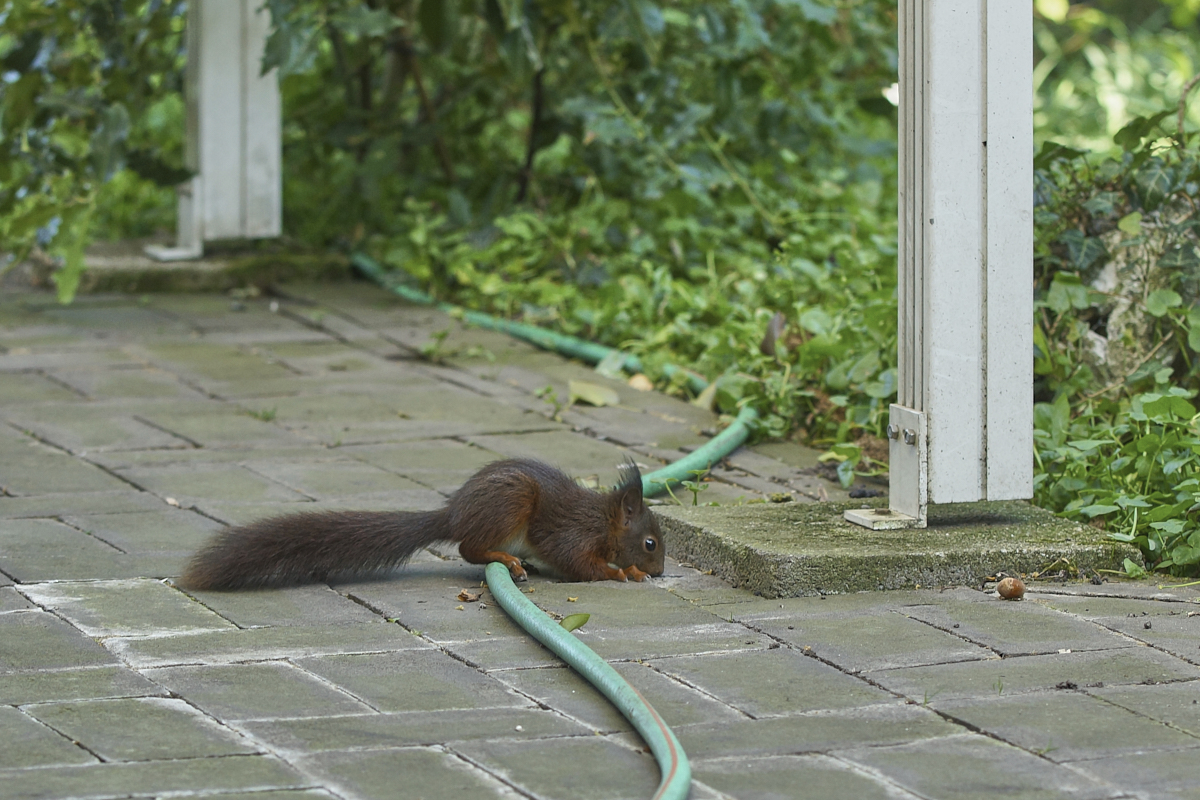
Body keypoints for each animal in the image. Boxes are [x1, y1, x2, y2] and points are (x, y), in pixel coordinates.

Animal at [177, 455, 667, 587]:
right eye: (650, 543)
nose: (662, 572)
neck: (603, 521)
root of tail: (453, 514)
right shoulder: (572, 535)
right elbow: (579, 564)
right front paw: (623, 572)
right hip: (512, 503)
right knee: (468, 548)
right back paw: (507, 561)